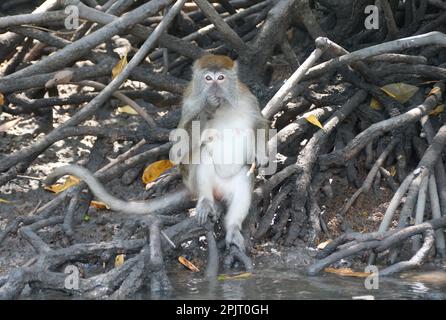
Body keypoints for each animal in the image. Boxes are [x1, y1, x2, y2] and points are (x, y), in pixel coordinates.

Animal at [174, 53, 268, 251]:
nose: (215, 89)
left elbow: (260, 123)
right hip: (195, 185)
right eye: (208, 78)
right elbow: (180, 144)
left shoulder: (247, 98)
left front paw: (261, 155)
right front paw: (208, 107)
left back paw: (233, 228)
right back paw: (206, 202)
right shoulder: (190, 103)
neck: (223, 106)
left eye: (221, 78)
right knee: (202, 155)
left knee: (244, 178)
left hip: (231, 184)